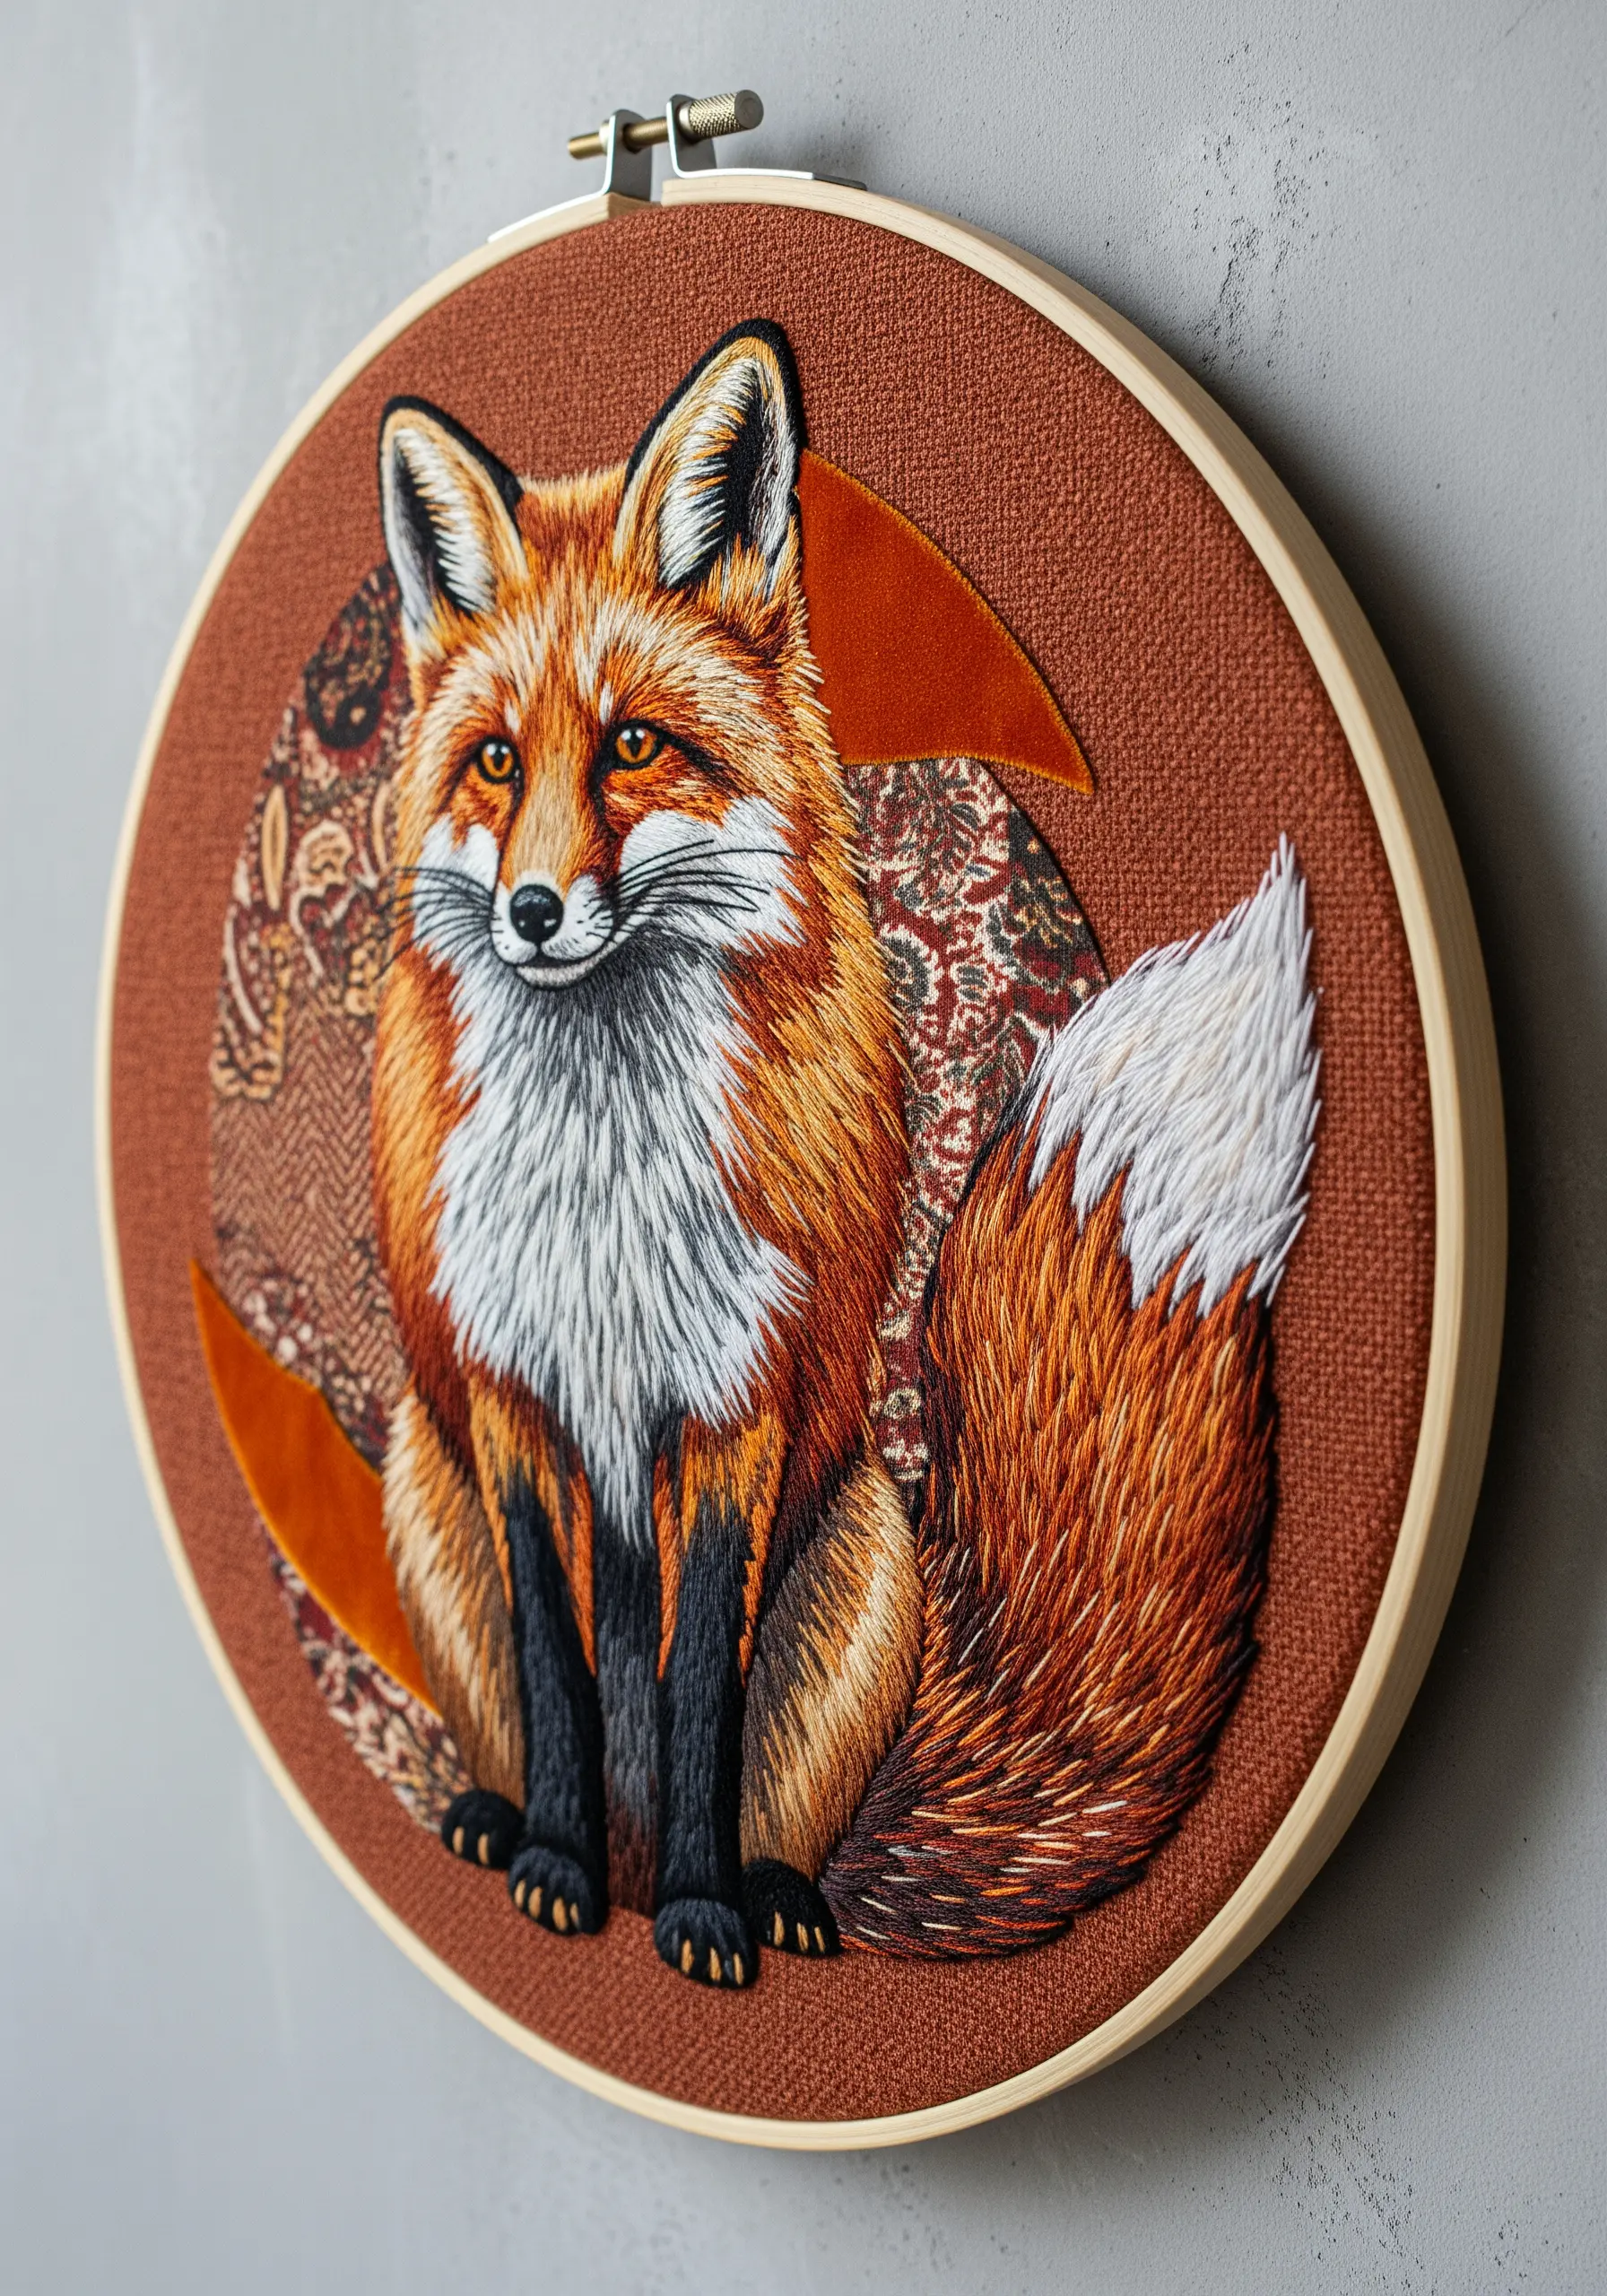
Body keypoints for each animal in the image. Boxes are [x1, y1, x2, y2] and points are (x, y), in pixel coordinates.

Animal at [371, 319, 1320, 1986]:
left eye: (633, 746)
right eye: (491, 763)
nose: (533, 913)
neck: (602, 1179)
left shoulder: (739, 1403)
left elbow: (697, 1683)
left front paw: (702, 1913)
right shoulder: (508, 1402)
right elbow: (561, 1672)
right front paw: (551, 1862)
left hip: (863, 1551)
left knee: (770, 1804)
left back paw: (763, 1894)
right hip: (425, 1494)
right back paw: (515, 1832)